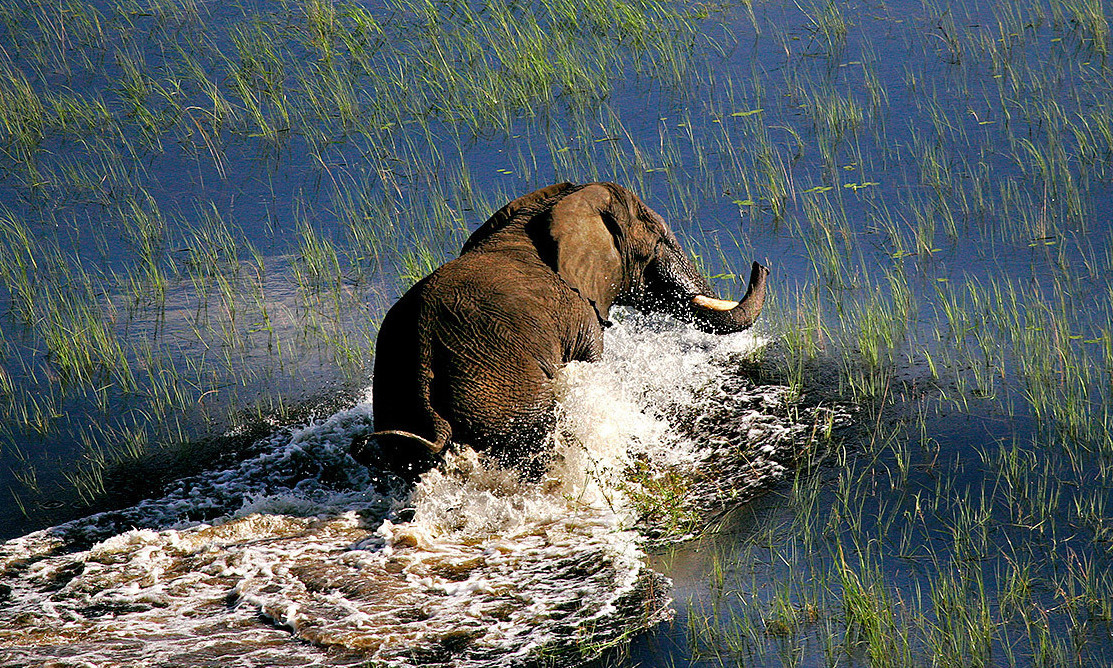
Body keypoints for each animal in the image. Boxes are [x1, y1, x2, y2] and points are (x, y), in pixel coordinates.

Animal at [351, 181, 770, 474]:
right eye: (658, 240)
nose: (760, 264)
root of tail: (423, 350)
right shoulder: (580, 311)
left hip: (398, 396)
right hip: (503, 394)